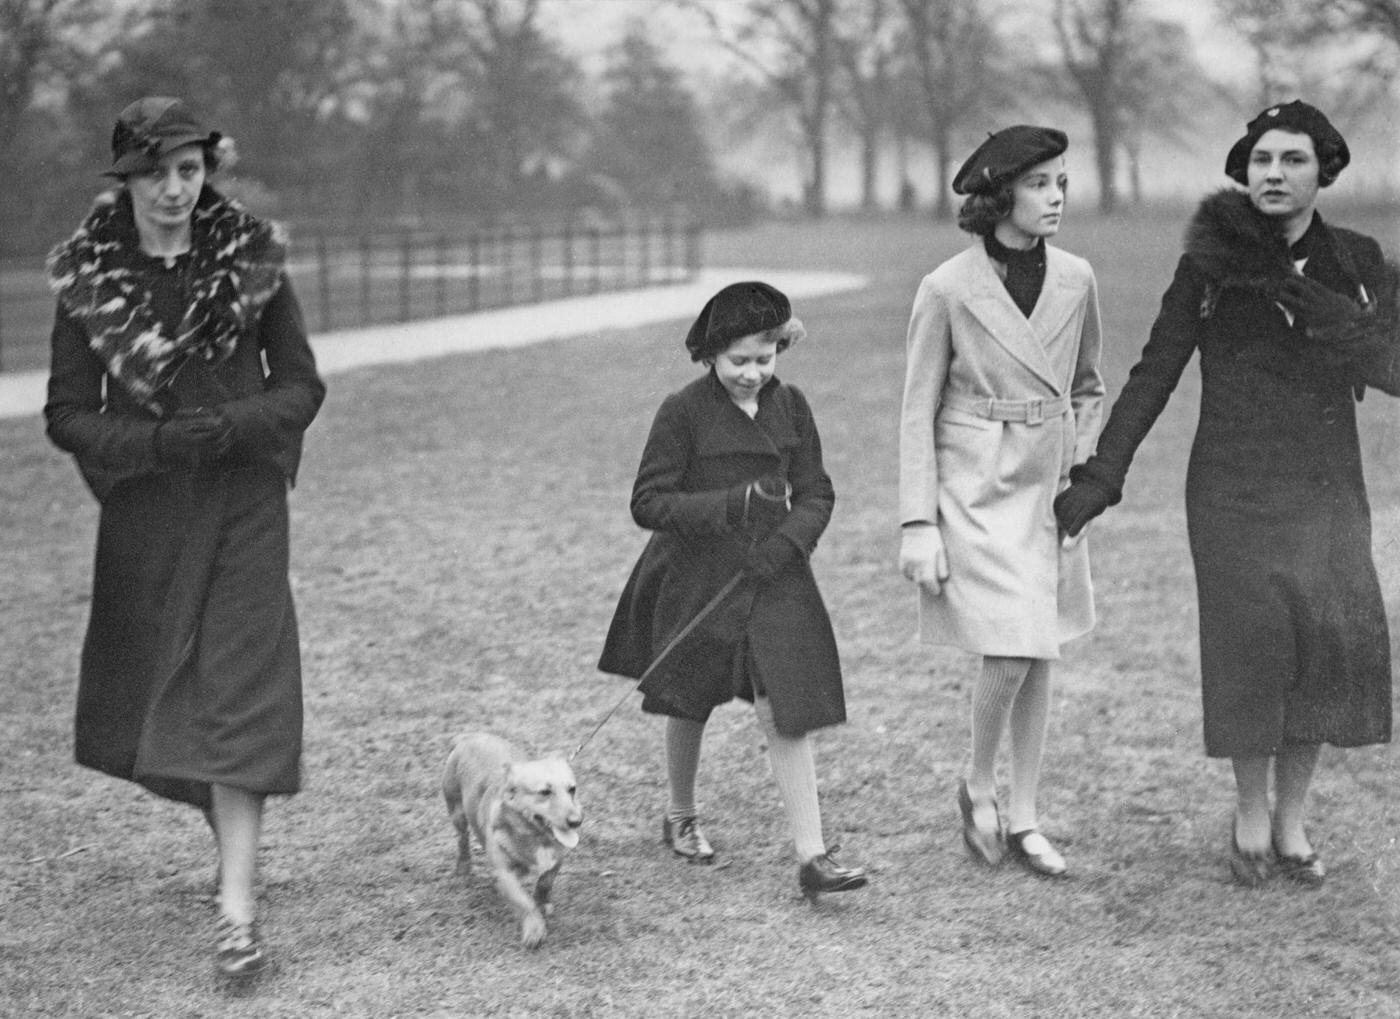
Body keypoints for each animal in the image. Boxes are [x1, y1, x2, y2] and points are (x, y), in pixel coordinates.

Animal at [442, 733, 585, 946]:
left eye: (572, 789)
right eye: (545, 792)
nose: (576, 821)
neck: (536, 837)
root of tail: (469, 736)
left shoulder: (556, 861)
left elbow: (544, 884)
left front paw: (542, 904)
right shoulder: (504, 874)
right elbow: (524, 903)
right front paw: (534, 929)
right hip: (457, 813)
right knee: (462, 841)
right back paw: (463, 870)